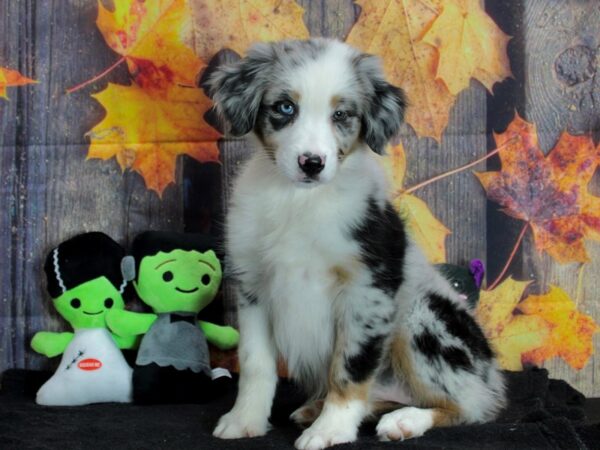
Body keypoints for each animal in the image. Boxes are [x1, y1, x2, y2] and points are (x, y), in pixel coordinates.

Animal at [207, 39, 506, 450]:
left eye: (342, 114)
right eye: (285, 107)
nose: (312, 163)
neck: (300, 201)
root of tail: (492, 377)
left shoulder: (368, 291)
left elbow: (349, 367)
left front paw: (331, 430)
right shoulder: (253, 285)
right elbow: (255, 363)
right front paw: (245, 420)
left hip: (422, 315)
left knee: (469, 407)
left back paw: (405, 420)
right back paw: (319, 409)